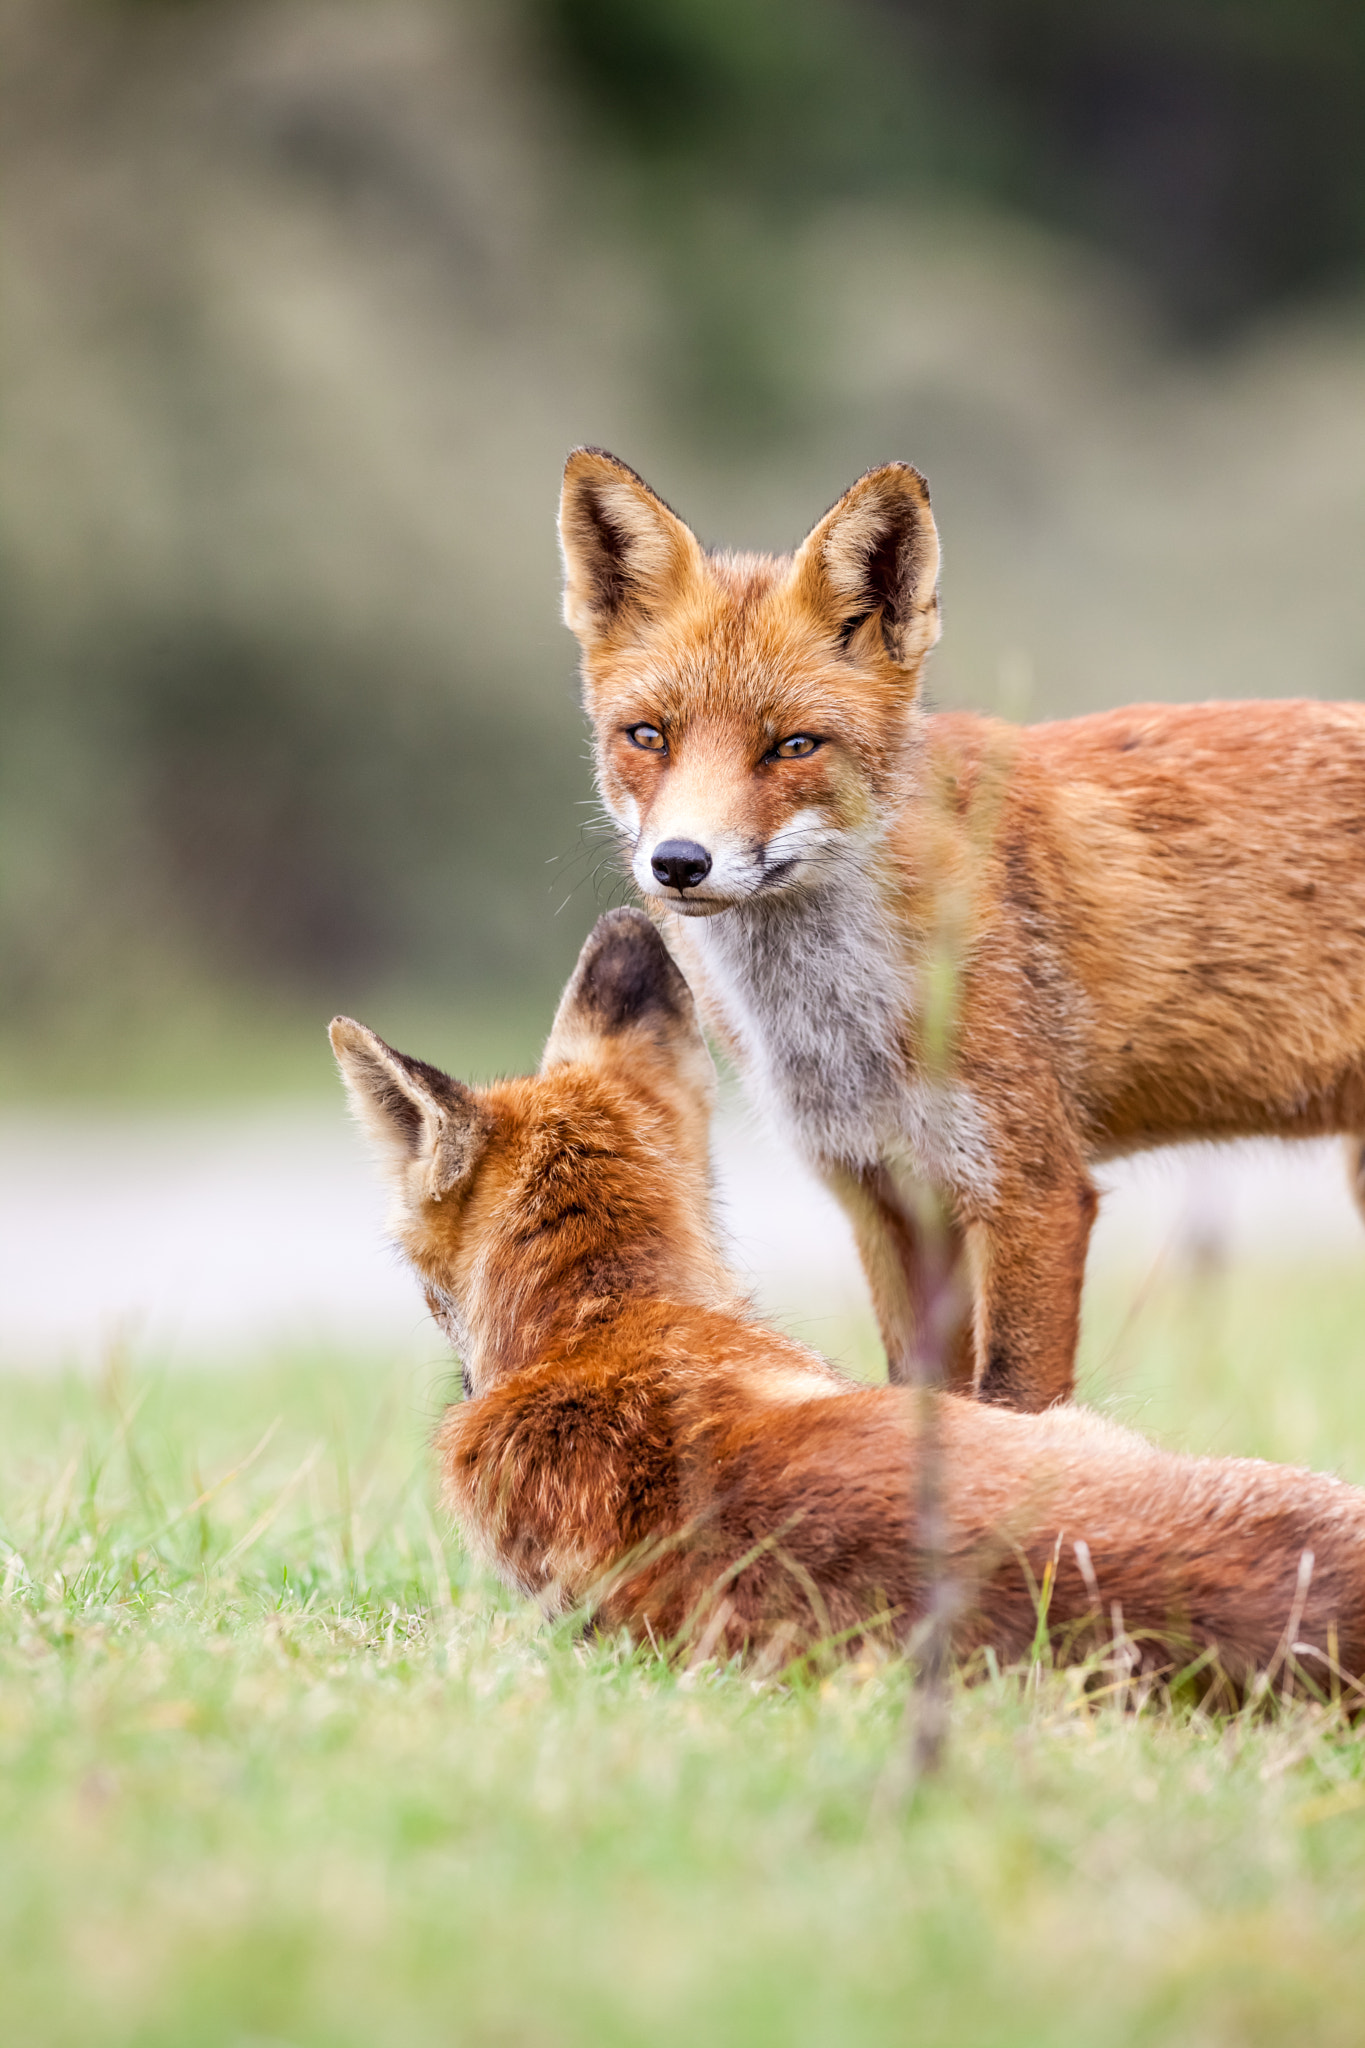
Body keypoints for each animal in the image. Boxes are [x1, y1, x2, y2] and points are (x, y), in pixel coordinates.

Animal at [556, 448, 1365, 1409]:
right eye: (647, 736)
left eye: (794, 746)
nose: (679, 862)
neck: (841, 1019)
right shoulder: (884, 1193)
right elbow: (922, 1404)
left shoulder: (1031, 1189)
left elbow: (1015, 1400)